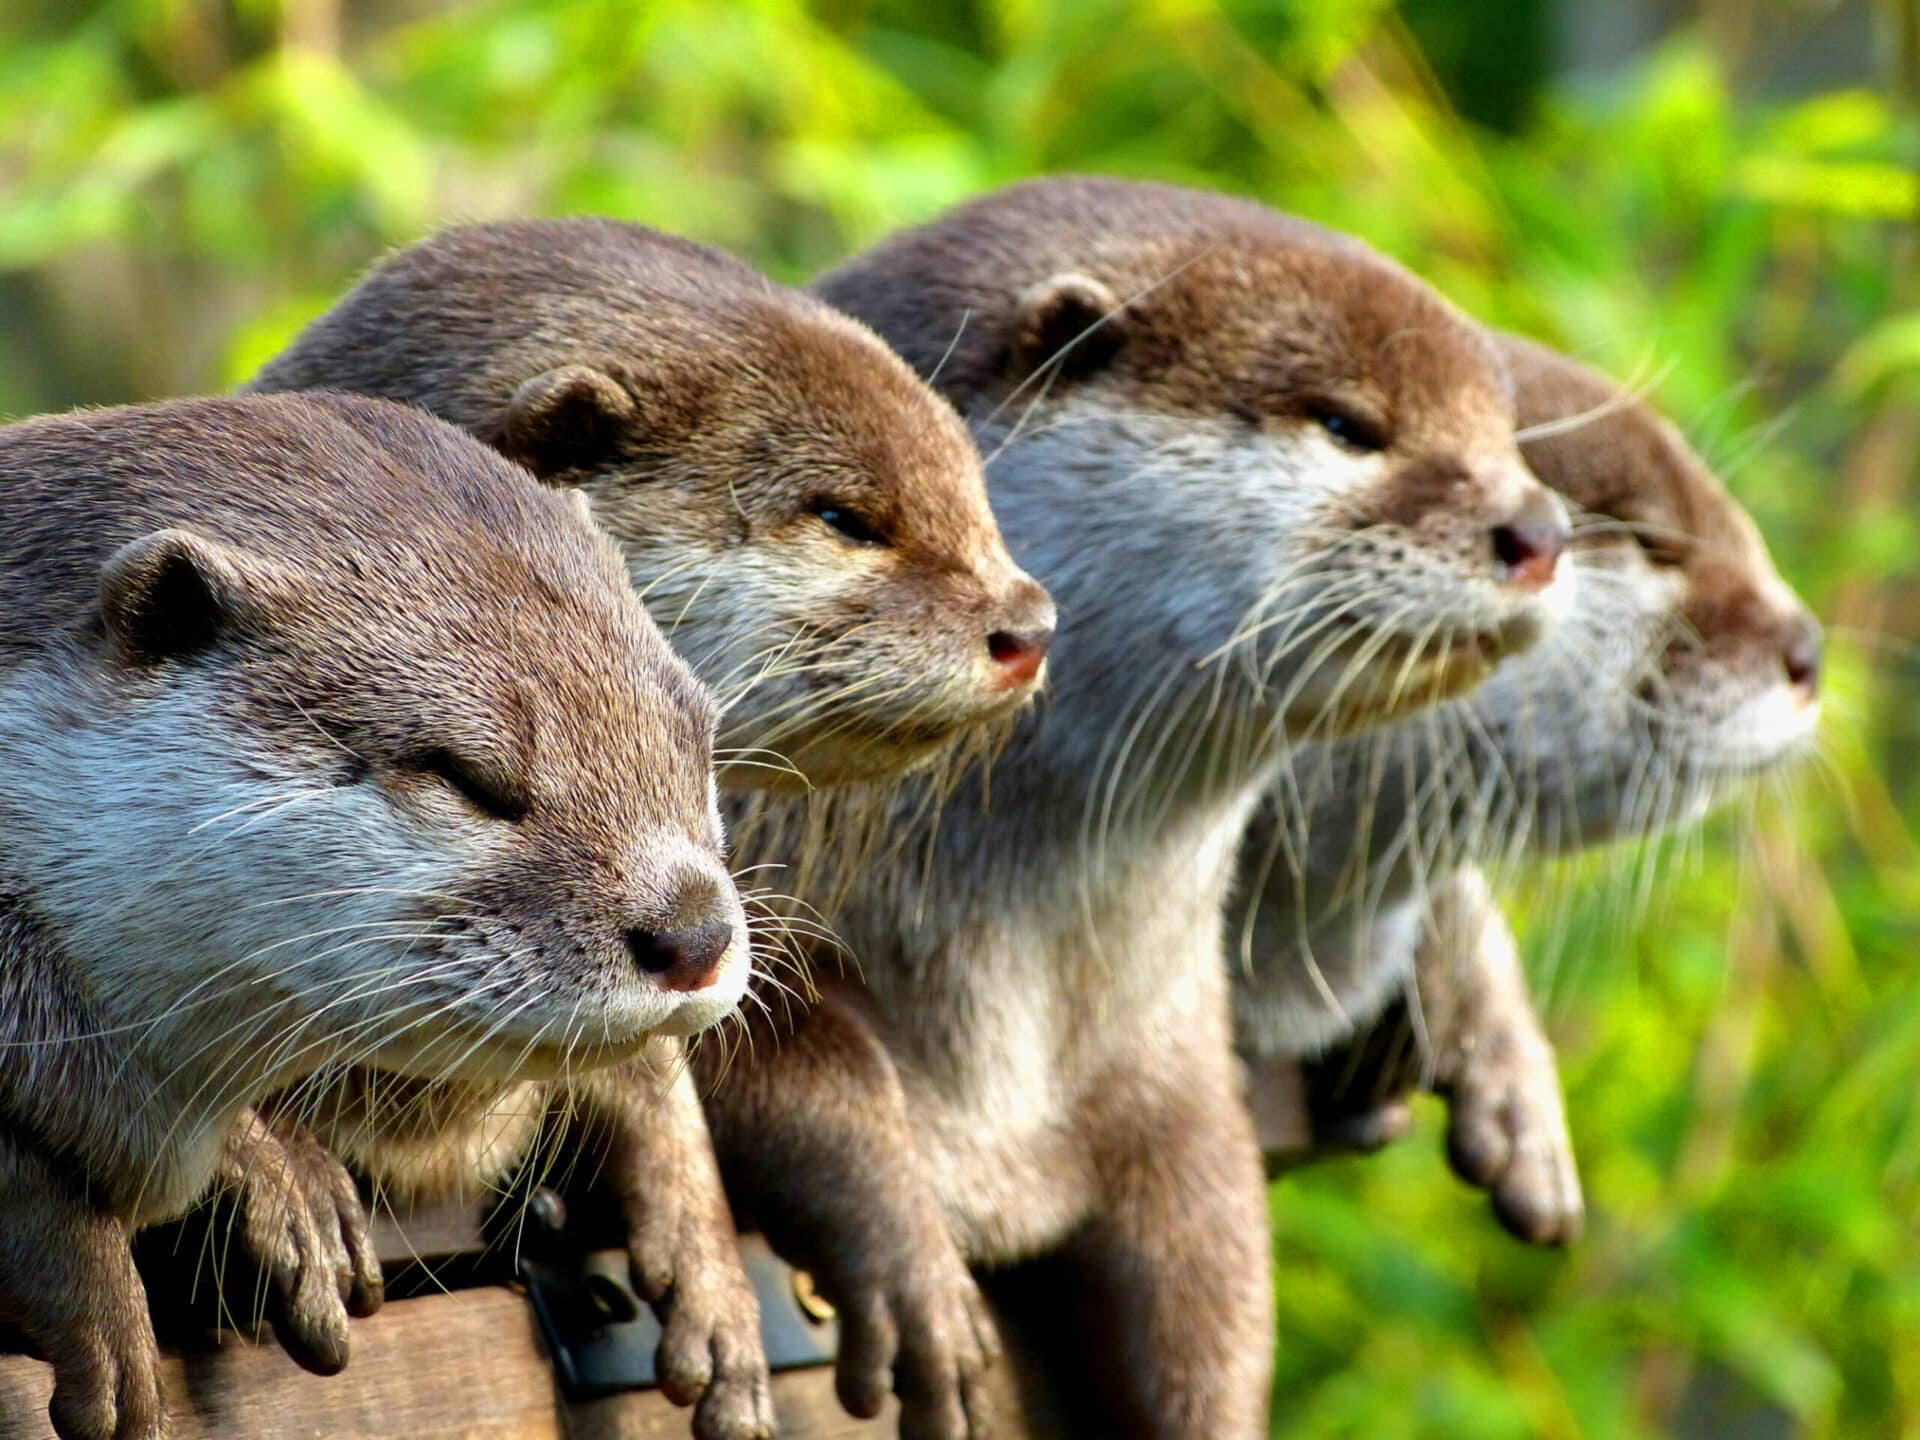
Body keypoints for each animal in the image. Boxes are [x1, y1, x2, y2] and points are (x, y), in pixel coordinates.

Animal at [698, 180, 1582, 1440]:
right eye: (1347, 425)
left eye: (1503, 434)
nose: (1542, 531)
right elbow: (781, 1056)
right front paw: (910, 1263)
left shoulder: (1170, 1075)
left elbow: (1210, 1294)